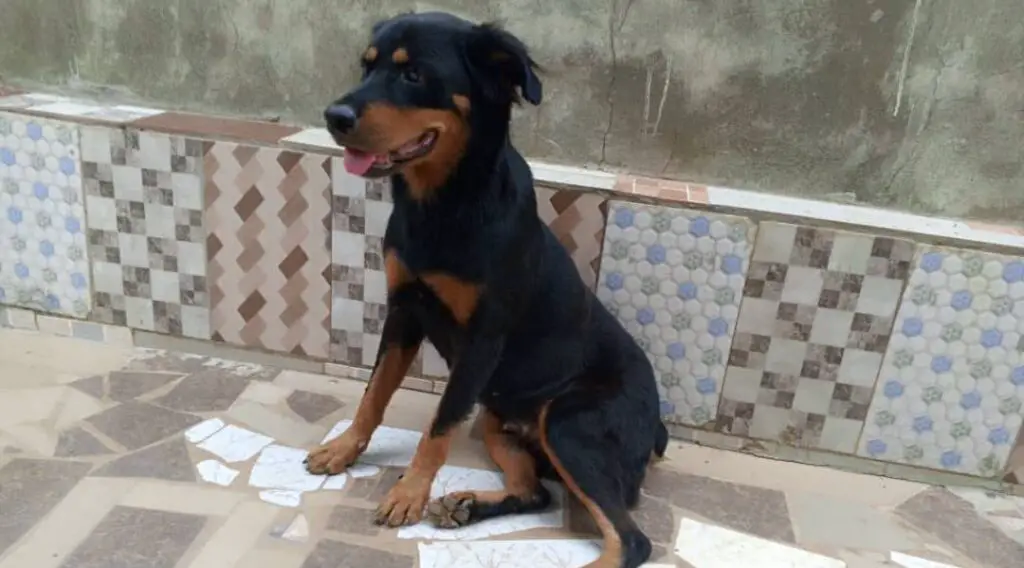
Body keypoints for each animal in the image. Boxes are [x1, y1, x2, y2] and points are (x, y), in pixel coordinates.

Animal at [303, 9, 667, 568]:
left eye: (414, 75)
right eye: (366, 66)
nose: (334, 116)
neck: (445, 204)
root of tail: (657, 424)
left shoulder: (482, 340)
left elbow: (439, 423)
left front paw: (409, 492)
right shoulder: (404, 311)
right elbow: (374, 393)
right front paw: (344, 449)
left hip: (568, 424)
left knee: (631, 540)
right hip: (501, 424)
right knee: (536, 493)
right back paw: (469, 507)